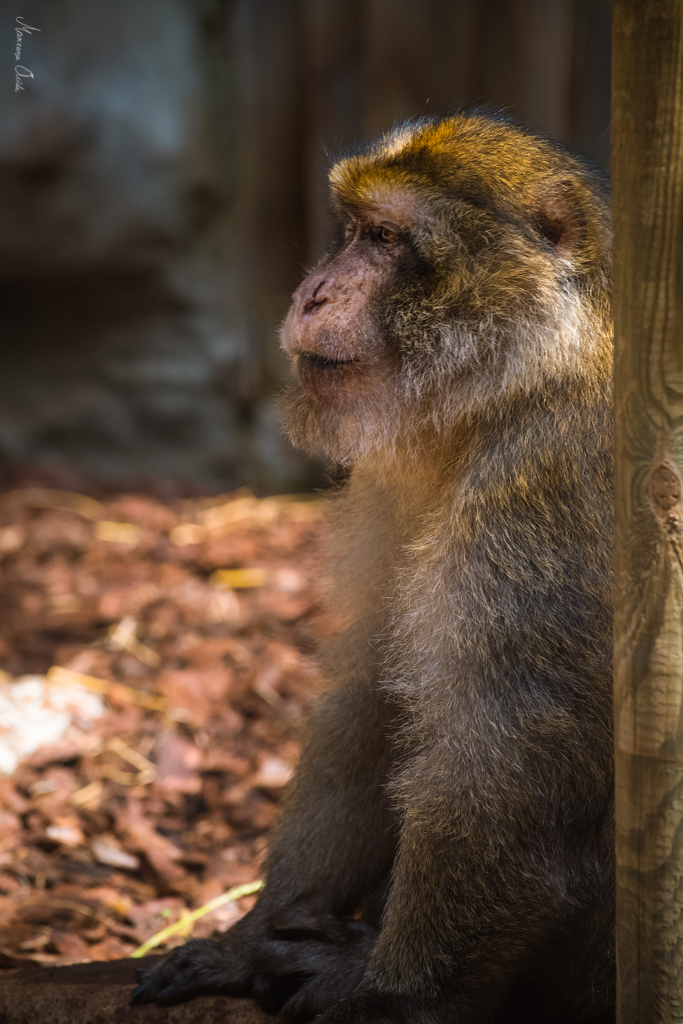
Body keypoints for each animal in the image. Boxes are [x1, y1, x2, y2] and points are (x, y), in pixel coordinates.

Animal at [132, 112, 614, 1024]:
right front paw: (252, 936)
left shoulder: (548, 495)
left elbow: (500, 771)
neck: (511, 387)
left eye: (388, 240)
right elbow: (374, 698)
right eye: (353, 231)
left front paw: (389, 996)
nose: (313, 292)